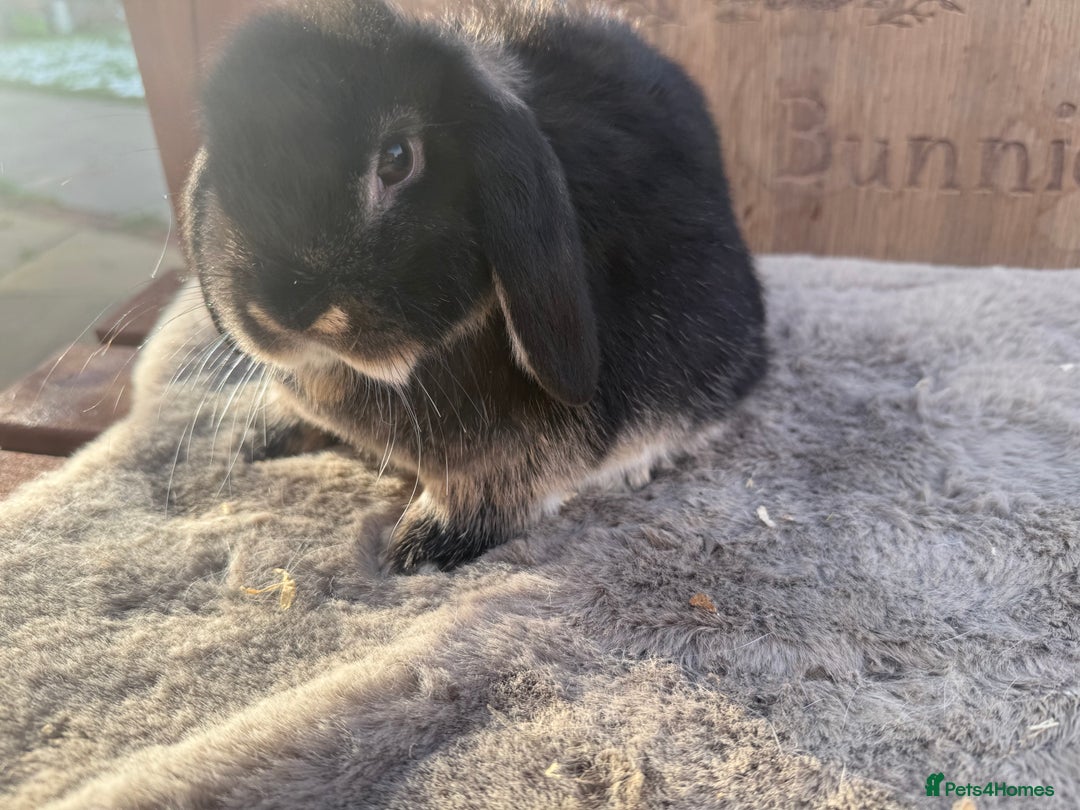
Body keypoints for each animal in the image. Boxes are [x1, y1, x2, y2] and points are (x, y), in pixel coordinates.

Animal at [181, 0, 768, 572]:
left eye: (397, 158)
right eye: (226, 163)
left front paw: (424, 543)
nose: (288, 308)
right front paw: (266, 435)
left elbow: (496, 484)